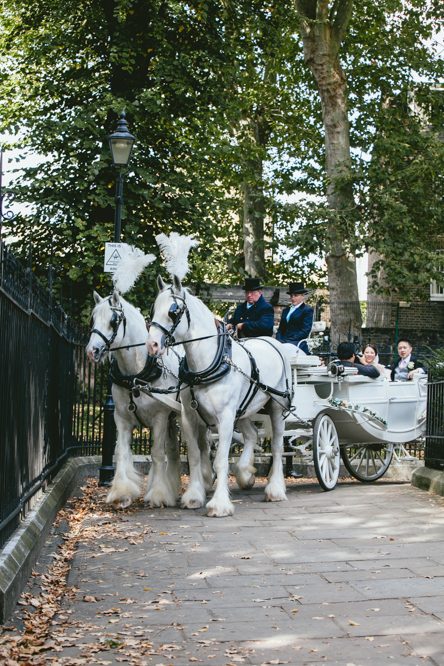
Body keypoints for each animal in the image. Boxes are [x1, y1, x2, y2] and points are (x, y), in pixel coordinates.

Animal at [85, 290, 199, 508]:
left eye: (113, 320)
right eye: (93, 319)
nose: (92, 351)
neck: (135, 374)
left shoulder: (160, 417)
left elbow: (156, 453)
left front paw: (158, 495)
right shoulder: (121, 418)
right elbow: (122, 452)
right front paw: (121, 493)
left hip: (181, 415)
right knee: (172, 451)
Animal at [147, 274, 294, 512]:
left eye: (173, 311)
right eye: (153, 309)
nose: (151, 345)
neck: (207, 364)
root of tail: (272, 341)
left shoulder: (225, 417)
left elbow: (220, 460)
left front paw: (219, 504)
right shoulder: (189, 417)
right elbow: (195, 456)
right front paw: (194, 496)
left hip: (277, 407)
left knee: (278, 445)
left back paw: (275, 489)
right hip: (243, 410)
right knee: (252, 434)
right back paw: (245, 473)